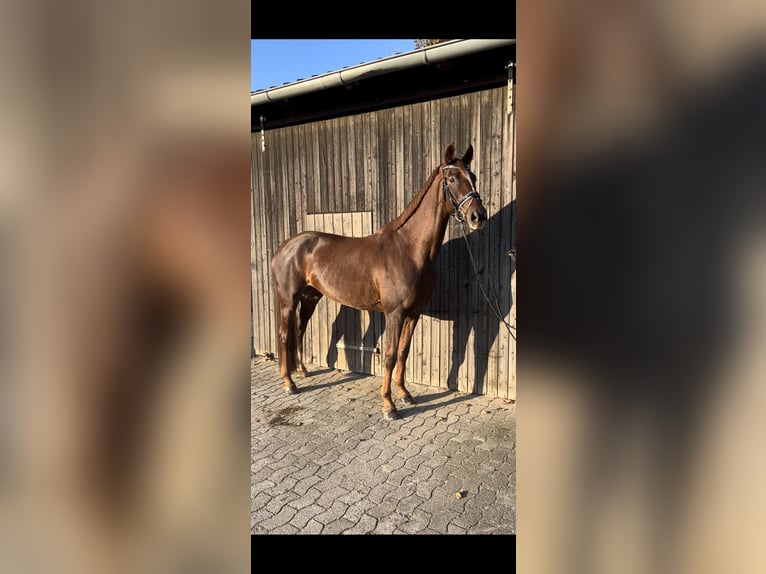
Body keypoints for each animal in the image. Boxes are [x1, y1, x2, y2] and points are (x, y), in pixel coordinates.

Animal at [272, 143, 486, 418]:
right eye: (452, 179)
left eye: (474, 177)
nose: (478, 216)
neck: (409, 249)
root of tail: (284, 247)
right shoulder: (394, 313)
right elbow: (390, 355)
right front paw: (388, 405)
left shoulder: (413, 313)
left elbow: (404, 352)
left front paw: (405, 395)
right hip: (288, 300)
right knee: (284, 334)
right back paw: (289, 383)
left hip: (310, 297)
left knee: (300, 328)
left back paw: (302, 371)